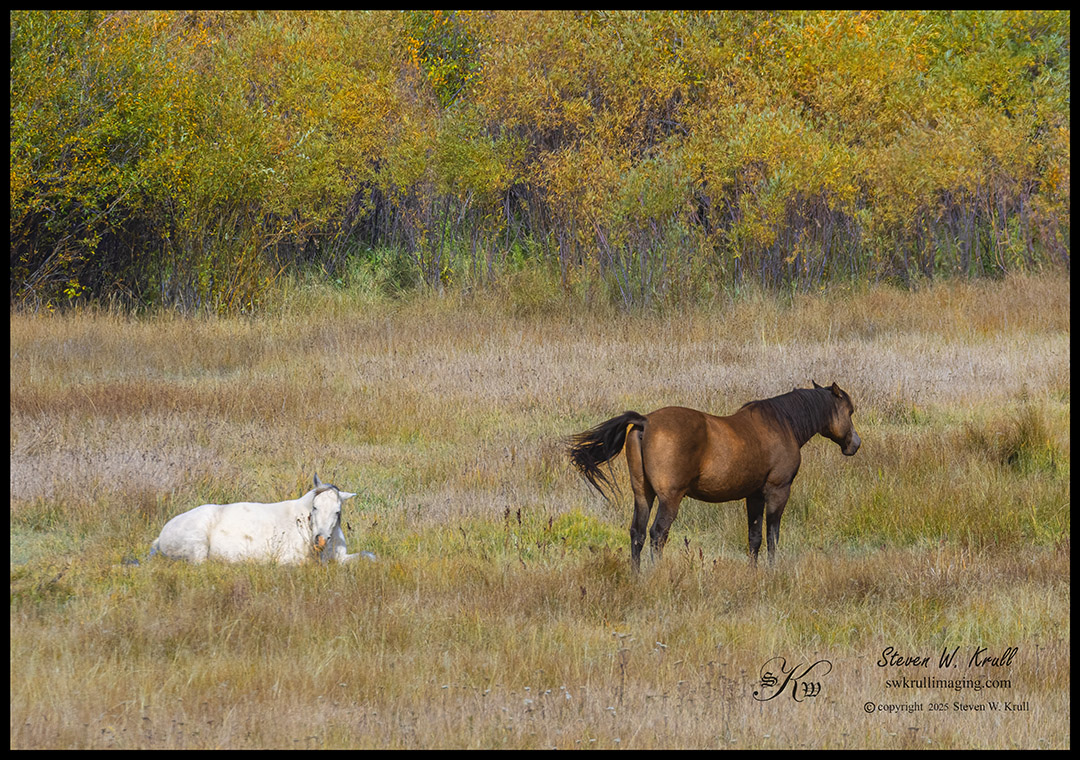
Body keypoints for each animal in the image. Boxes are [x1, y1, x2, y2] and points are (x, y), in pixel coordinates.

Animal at [150, 474, 375, 564]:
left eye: (337, 511)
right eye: (315, 507)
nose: (319, 541)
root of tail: (161, 536)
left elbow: (369, 556)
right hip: (198, 548)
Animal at [568, 382, 861, 571]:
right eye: (849, 411)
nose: (854, 444)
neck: (781, 424)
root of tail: (645, 421)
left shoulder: (754, 495)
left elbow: (754, 537)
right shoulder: (778, 491)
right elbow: (772, 535)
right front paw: (772, 571)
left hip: (643, 495)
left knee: (637, 533)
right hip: (669, 499)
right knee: (657, 534)